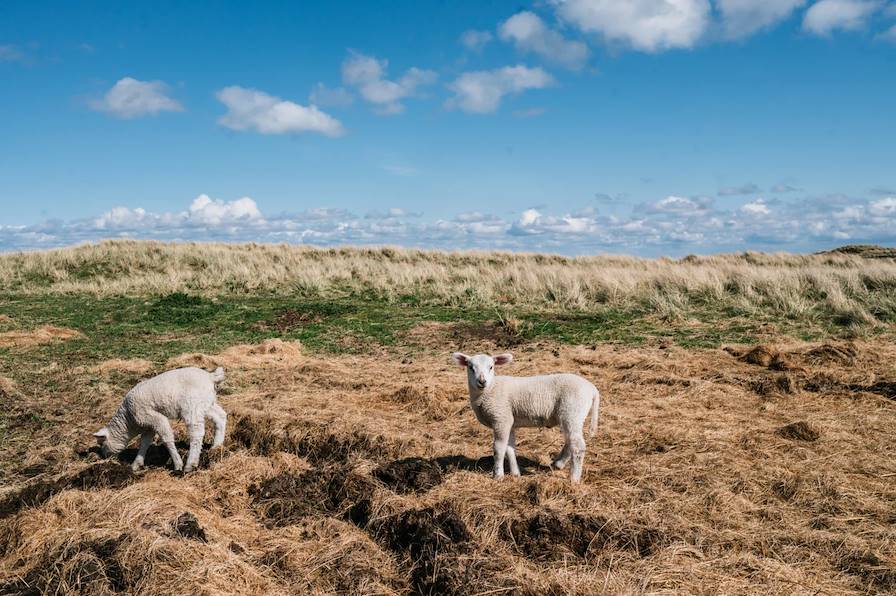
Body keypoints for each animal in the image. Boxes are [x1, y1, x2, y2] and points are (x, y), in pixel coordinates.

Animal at [92, 366, 228, 472]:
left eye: (102, 443)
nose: (105, 457)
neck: (128, 421)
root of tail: (210, 377)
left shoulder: (153, 417)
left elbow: (166, 438)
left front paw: (177, 464)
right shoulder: (148, 425)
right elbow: (145, 442)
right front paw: (136, 464)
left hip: (192, 406)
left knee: (197, 433)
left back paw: (190, 464)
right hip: (206, 403)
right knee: (220, 416)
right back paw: (216, 447)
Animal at [452, 352, 600, 482]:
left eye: (491, 367)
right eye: (471, 367)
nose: (482, 381)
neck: (491, 389)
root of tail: (592, 389)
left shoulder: (501, 418)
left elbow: (499, 448)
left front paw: (498, 475)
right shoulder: (509, 421)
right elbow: (510, 448)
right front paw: (515, 473)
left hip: (572, 411)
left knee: (577, 445)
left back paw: (574, 479)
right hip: (573, 415)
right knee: (571, 440)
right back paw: (558, 464)